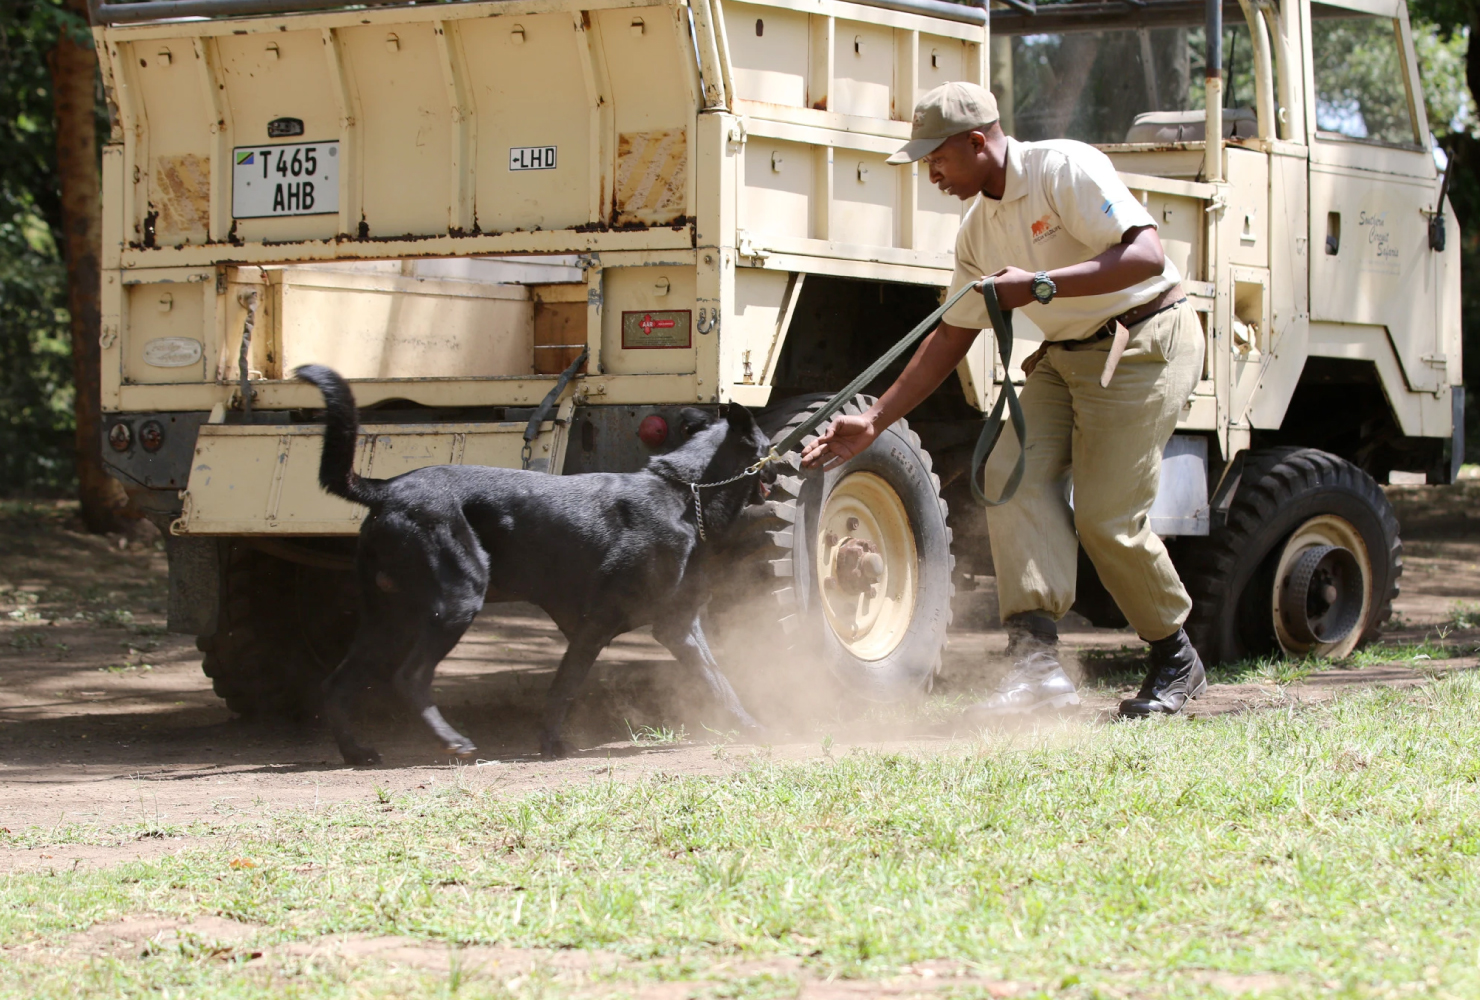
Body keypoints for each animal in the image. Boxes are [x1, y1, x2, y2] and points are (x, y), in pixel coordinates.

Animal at [294, 366, 769, 763]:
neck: (683, 492)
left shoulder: (679, 628)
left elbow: (720, 683)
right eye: (767, 445)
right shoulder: (596, 624)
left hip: (389, 619)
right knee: (410, 678)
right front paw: (551, 744)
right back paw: (453, 741)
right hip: (455, 602)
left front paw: (752, 727)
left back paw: (356, 752)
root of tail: (385, 490)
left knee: (336, 684)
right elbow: (564, 688)